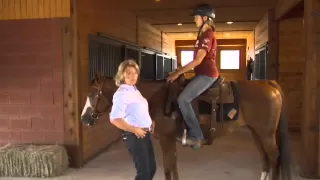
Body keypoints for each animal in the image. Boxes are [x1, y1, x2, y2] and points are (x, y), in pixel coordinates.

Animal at [80, 73, 292, 180]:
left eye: (91, 94)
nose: (84, 119)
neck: (155, 99)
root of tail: (269, 84)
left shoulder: (166, 140)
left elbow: (168, 169)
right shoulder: (170, 142)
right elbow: (173, 167)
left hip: (266, 135)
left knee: (274, 157)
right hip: (257, 133)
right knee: (266, 160)